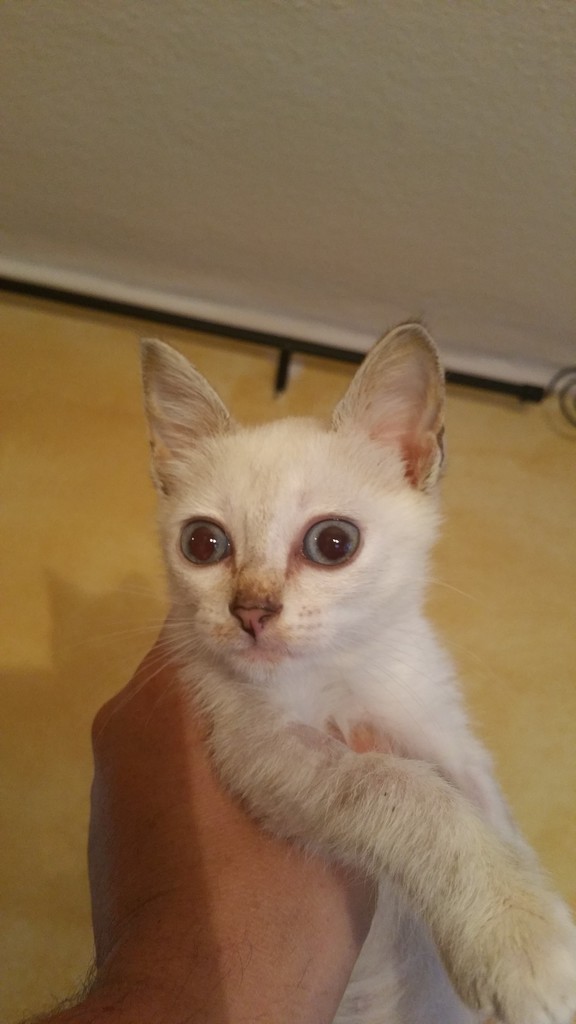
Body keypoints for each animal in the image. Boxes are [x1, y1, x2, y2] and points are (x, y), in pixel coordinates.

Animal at [140, 323, 576, 1024]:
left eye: (333, 543)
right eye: (202, 544)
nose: (251, 611)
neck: (346, 668)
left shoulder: (437, 718)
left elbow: (490, 806)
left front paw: (529, 902)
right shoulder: (257, 746)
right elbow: (396, 785)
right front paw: (518, 938)